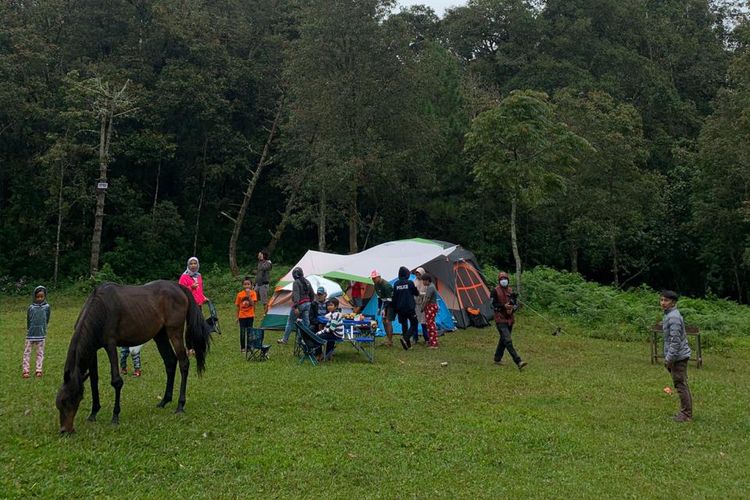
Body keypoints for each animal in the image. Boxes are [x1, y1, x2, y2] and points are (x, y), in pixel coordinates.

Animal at [55, 282, 212, 434]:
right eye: (59, 402)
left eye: (69, 401)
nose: (65, 430)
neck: (100, 308)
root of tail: (178, 287)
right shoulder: (92, 350)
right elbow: (94, 380)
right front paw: (93, 413)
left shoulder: (111, 345)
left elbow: (116, 381)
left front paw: (115, 416)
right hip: (160, 335)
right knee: (170, 362)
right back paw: (164, 401)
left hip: (175, 332)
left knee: (183, 363)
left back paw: (180, 405)